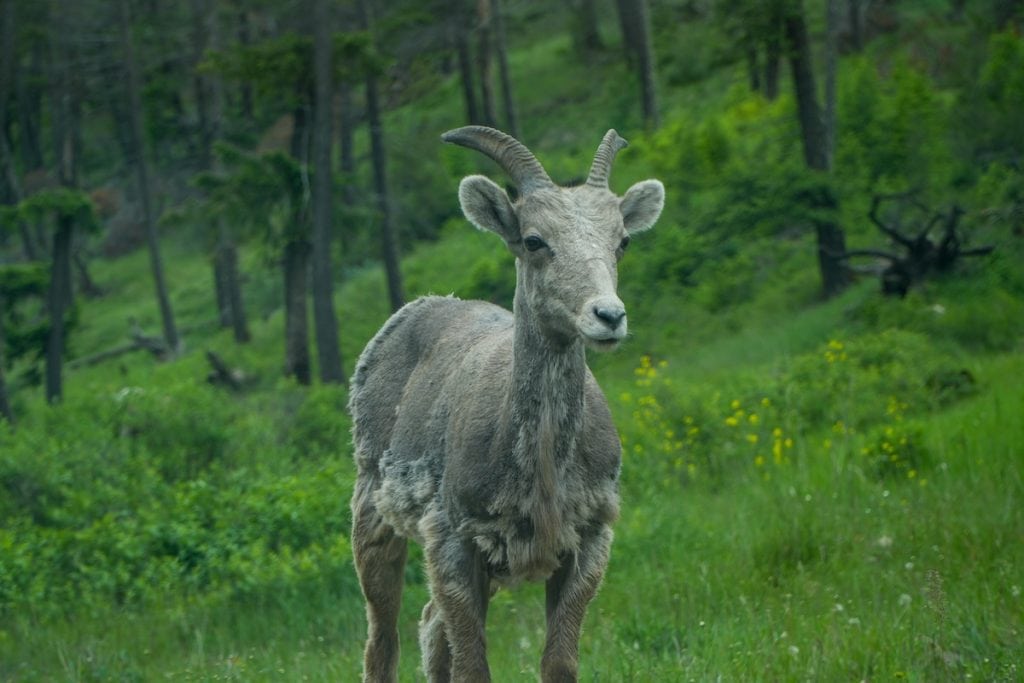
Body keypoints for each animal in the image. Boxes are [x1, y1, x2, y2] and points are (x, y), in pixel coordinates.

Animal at [349, 125, 665, 682]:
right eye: (534, 241)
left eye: (621, 241)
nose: (608, 316)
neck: (540, 475)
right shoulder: (453, 539)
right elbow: (474, 667)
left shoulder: (587, 542)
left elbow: (557, 663)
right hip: (373, 514)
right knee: (382, 641)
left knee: (430, 627)